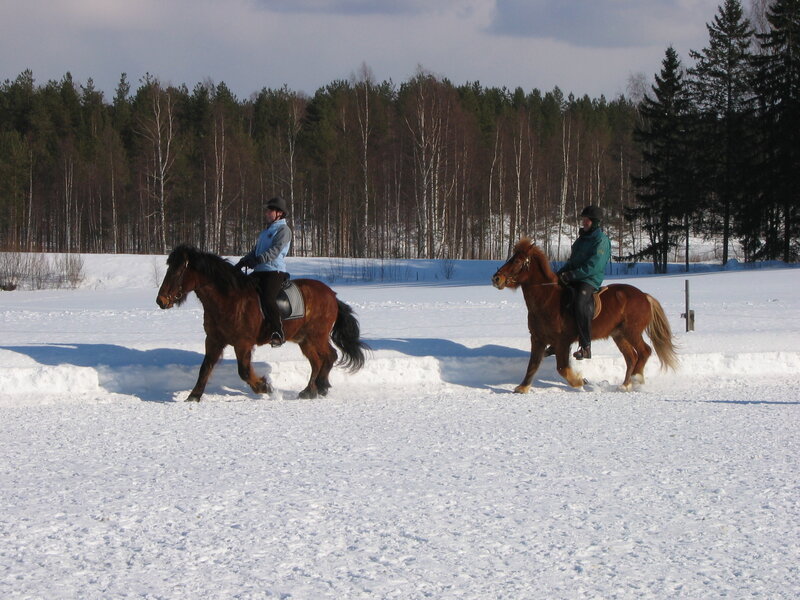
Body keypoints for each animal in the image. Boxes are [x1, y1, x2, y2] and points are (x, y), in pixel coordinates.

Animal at [156, 244, 369, 401]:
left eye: (177, 272)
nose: (161, 301)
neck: (229, 299)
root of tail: (332, 295)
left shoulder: (243, 343)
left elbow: (243, 371)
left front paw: (264, 387)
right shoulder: (214, 340)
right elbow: (205, 368)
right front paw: (194, 396)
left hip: (317, 336)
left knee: (330, 356)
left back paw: (322, 386)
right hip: (304, 339)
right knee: (317, 361)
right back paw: (309, 390)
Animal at [491, 238, 677, 392]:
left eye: (517, 260)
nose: (496, 278)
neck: (547, 299)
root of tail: (644, 296)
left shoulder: (563, 341)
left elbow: (562, 368)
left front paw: (580, 381)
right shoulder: (538, 339)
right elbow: (533, 364)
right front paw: (522, 387)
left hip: (632, 331)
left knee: (644, 351)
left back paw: (636, 378)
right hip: (619, 335)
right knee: (631, 357)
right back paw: (625, 385)